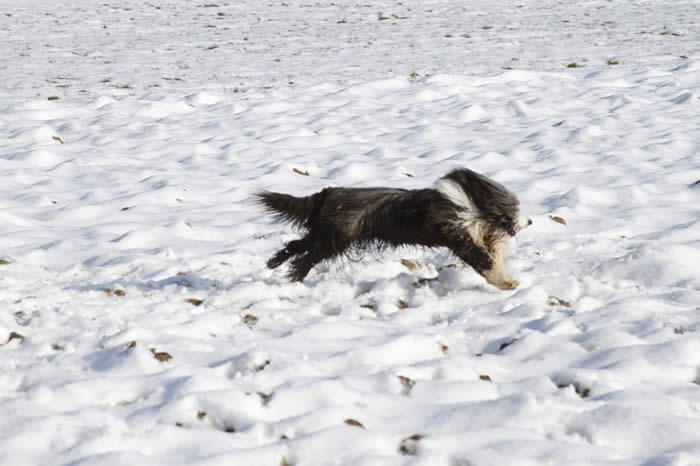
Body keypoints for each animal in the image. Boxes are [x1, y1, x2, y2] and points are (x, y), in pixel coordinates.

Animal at [256, 168, 531, 290]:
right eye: (512, 208)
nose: (530, 222)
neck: (469, 207)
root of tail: (327, 193)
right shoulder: (456, 235)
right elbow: (482, 260)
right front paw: (505, 282)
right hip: (335, 238)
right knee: (306, 257)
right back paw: (295, 278)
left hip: (326, 233)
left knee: (297, 245)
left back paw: (273, 263)